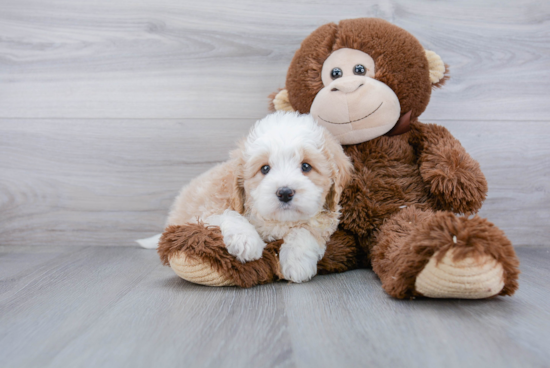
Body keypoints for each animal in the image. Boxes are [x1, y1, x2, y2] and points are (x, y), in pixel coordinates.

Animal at [167, 111, 354, 282]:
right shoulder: (204, 213)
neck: (277, 222)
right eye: (265, 169)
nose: (284, 193)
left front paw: (297, 261)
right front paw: (245, 240)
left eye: (306, 166)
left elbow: (306, 230)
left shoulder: (325, 219)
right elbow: (228, 214)